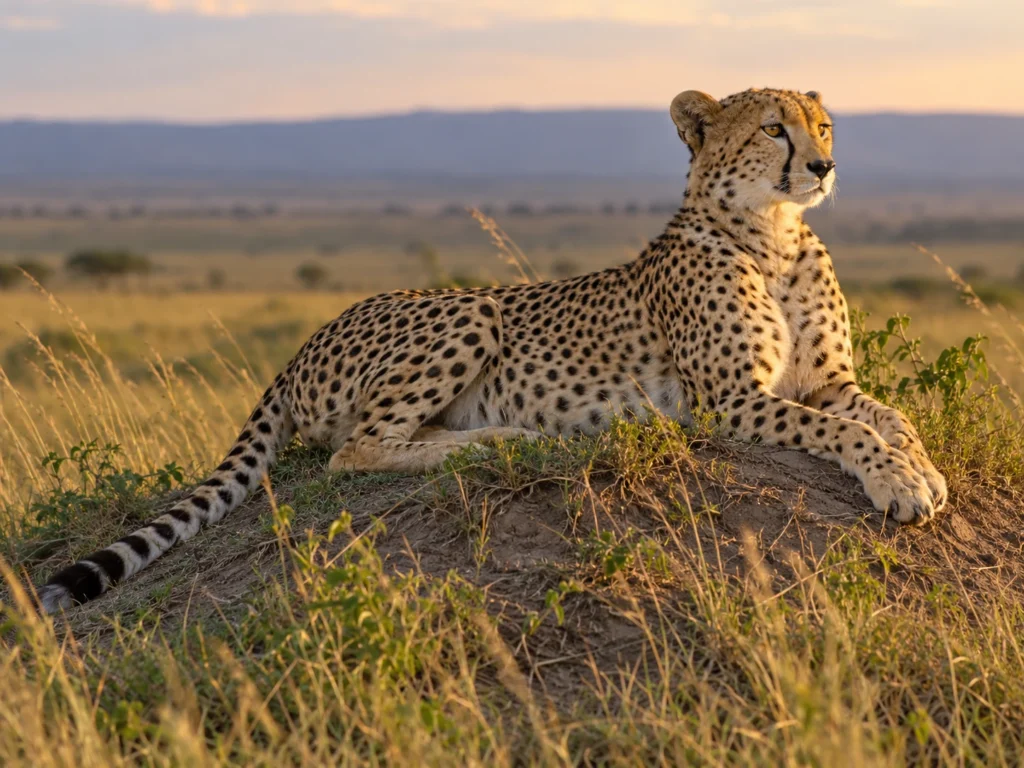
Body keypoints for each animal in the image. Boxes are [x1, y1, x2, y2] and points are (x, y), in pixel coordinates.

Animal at [37, 87, 947, 614]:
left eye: (823, 126)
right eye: (774, 130)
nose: (824, 165)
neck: (775, 234)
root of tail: (308, 339)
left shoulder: (824, 384)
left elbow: (890, 416)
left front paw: (922, 469)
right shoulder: (732, 401)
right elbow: (848, 431)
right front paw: (900, 483)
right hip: (470, 311)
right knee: (355, 450)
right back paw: (495, 439)